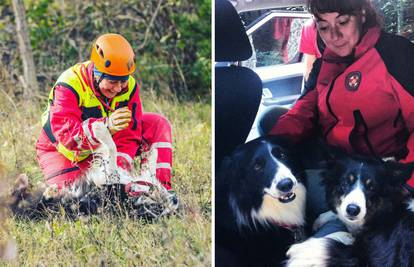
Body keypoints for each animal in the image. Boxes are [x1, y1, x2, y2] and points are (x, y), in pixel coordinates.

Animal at [8, 122, 176, 222]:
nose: (174, 199)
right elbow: (150, 168)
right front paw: (152, 152)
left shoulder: (108, 175)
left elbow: (112, 148)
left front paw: (99, 129)